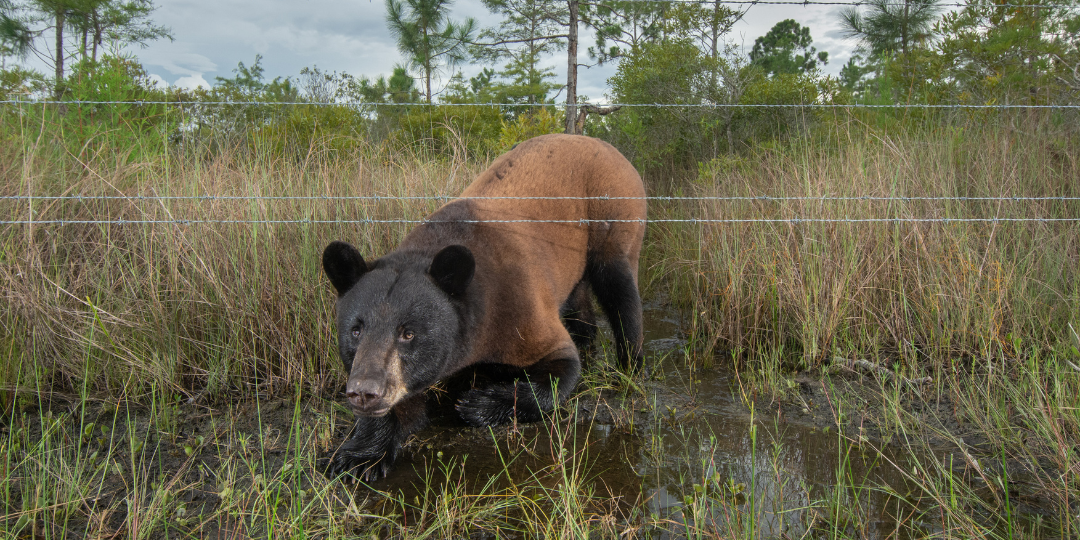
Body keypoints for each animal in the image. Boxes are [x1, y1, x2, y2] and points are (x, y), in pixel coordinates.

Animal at [320, 134, 646, 481]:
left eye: (408, 333)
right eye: (355, 330)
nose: (364, 392)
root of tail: (604, 145)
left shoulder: (517, 306)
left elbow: (561, 366)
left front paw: (477, 403)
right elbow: (404, 404)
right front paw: (359, 455)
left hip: (614, 212)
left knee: (619, 287)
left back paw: (630, 363)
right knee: (579, 301)